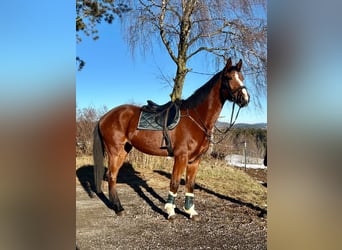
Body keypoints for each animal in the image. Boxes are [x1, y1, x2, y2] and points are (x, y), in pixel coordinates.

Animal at [92, 57, 250, 220]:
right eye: (229, 78)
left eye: (242, 78)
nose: (245, 99)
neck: (196, 118)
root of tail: (104, 117)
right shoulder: (181, 157)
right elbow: (174, 183)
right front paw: (170, 211)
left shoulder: (195, 160)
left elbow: (190, 185)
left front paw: (190, 211)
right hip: (114, 151)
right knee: (111, 176)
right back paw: (118, 208)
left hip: (124, 150)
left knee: (113, 175)